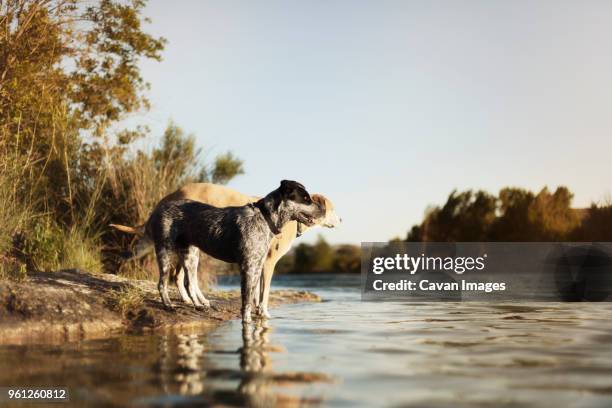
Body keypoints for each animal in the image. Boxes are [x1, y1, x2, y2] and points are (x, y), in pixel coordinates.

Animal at [110, 182, 340, 318]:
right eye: (306, 199)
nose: (341, 219)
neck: (265, 217)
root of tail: (161, 205)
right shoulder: (261, 265)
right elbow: (259, 296)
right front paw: (261, 314)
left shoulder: (257, 265)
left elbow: (254, 295)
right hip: (166, 252)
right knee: (164, 283)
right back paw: (169, 305)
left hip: (190, 254)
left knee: (188, 281)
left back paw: (199, 303)